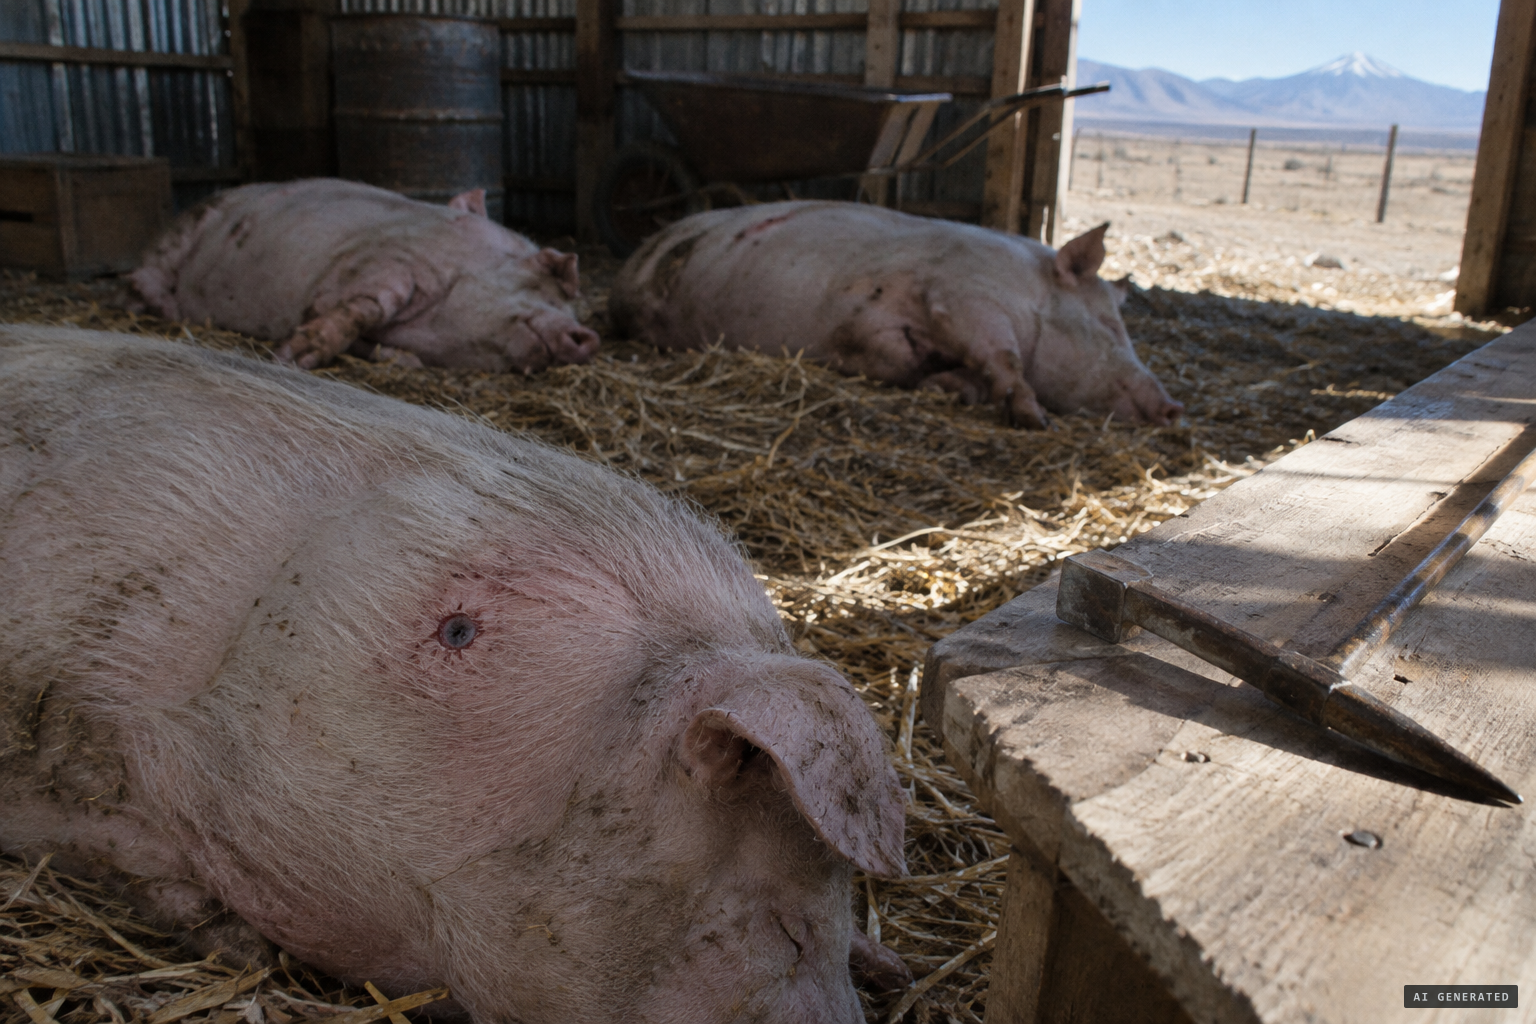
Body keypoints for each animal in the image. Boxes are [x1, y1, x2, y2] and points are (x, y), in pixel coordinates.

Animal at [128, 178, 600, 372]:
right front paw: (293, 356)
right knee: (141, 275)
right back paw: (168, 308)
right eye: (549, 269)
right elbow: (364, 306)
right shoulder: (391, 258)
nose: (588, 337)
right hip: (184, 231)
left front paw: (400, 361)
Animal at [612, 201, 1184, 428]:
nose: (1174, 406)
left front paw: (945, 386)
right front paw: (1034, 418)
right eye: (1110, 324)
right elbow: (1005, 358)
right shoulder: (963, 295)